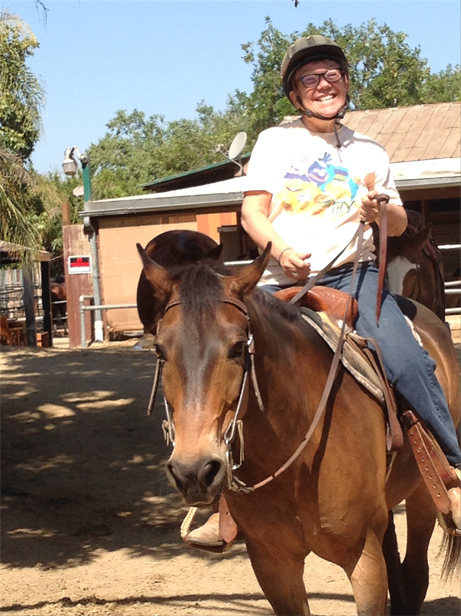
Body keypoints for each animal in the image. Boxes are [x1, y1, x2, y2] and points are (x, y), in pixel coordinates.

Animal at [135, 239, 458, 616]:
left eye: (237, 347)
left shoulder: (363, 558)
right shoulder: (273, 563)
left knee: (416, 574)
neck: (294, 454)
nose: (193, 471)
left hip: (423, 492)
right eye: (160, 351)